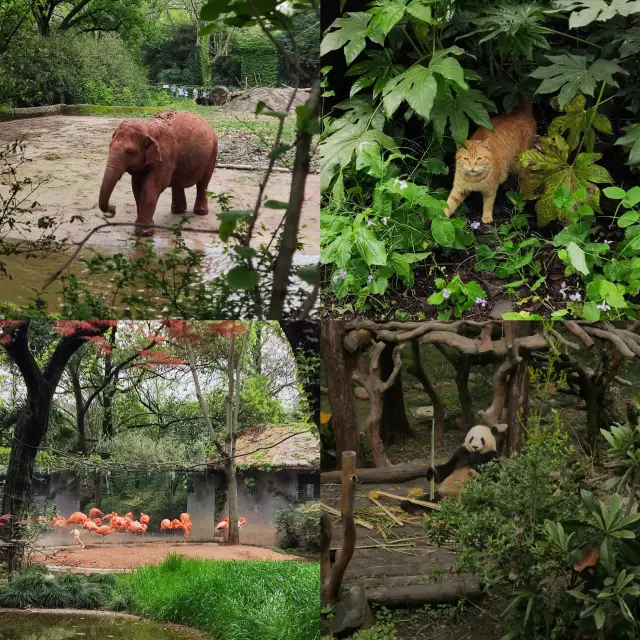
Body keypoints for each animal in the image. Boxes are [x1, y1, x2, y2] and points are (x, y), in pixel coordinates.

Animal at [99, 110, 219, 238]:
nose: (113, 208)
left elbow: (151, 188)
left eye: (130, 152)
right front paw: (140, 229)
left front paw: (144, 233)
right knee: (178, 182)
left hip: (212, 152)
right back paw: (178, 211)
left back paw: (200, 212)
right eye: (109, 146)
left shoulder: (164, 156)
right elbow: (136, 188)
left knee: (203, 182)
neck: (148, 127)